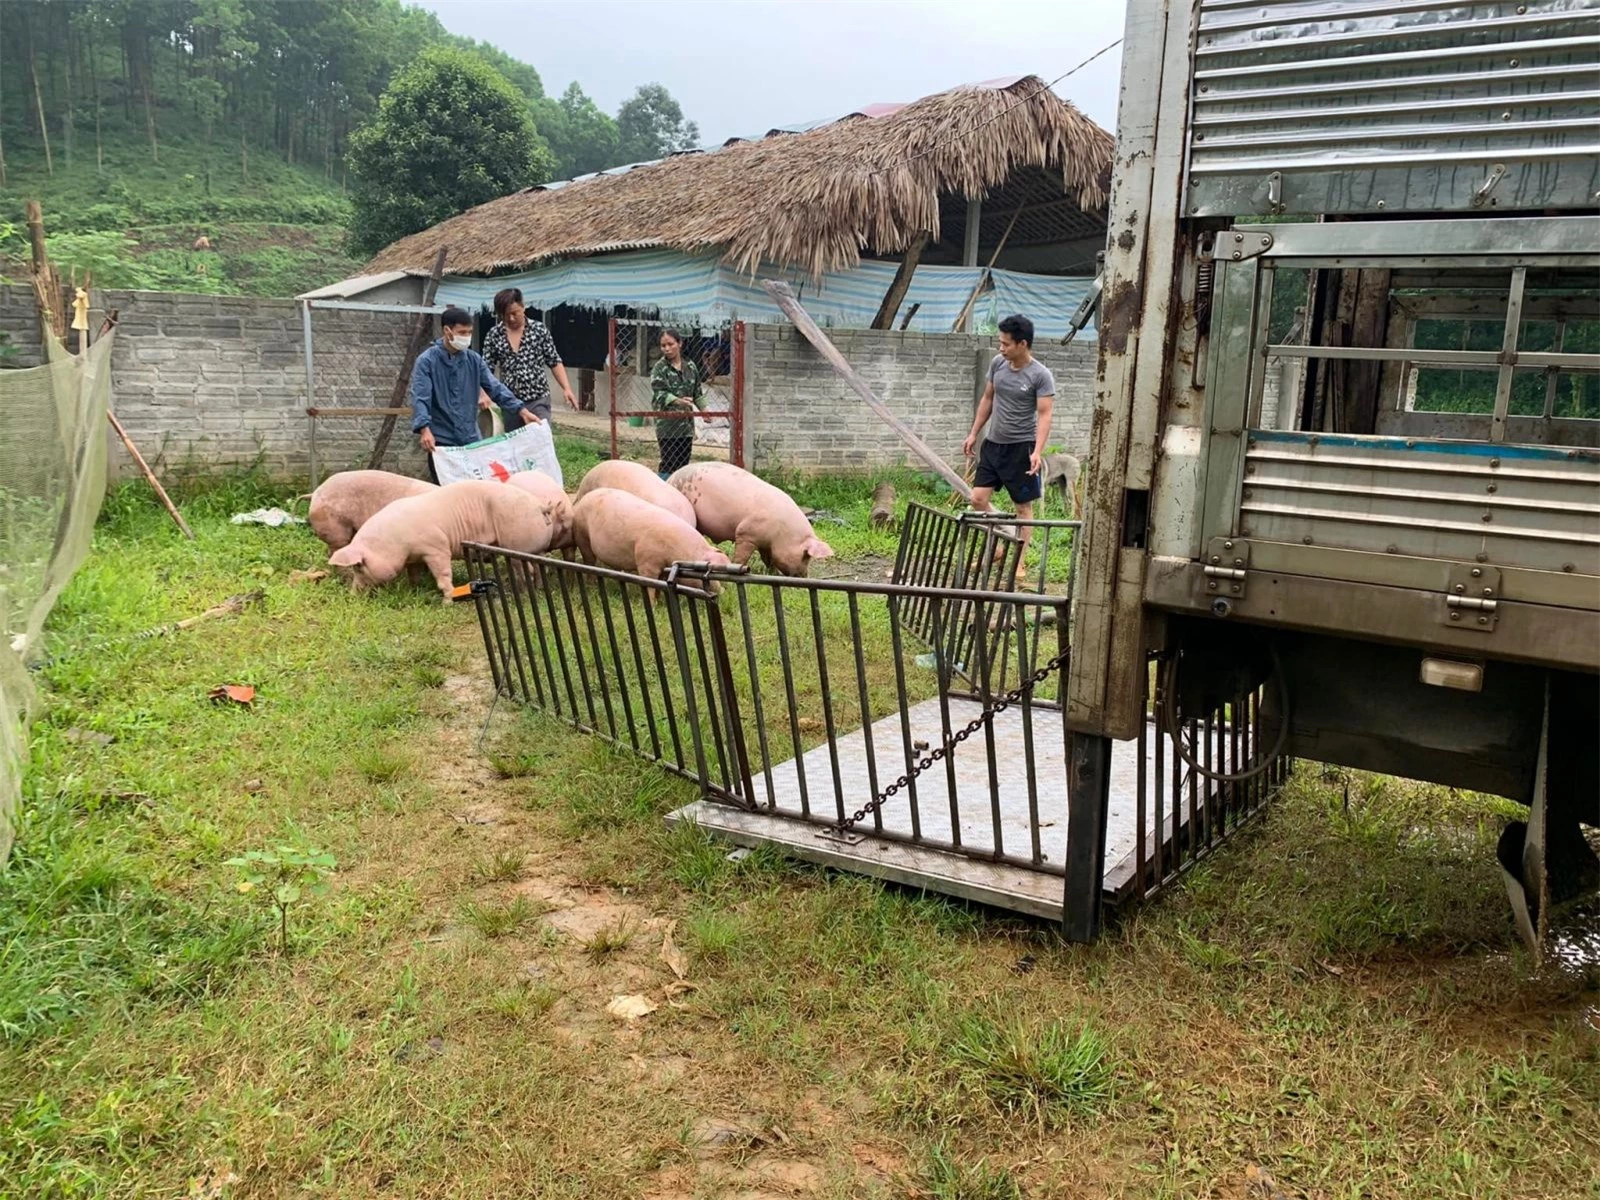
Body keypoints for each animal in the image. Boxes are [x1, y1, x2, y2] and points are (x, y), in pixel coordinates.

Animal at [324, 480, 556, 601]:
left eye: (359, 567)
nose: (352, 594)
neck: (395, 541)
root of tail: (540, 507)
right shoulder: (413, 557)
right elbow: (414, 573)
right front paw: (414, 589)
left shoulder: (436, 547)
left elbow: (442, 573)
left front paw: (447, 601)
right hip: (535, 548)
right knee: (539, 568)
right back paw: (536, 590)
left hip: (517, 544)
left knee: (528, 569)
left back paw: (523, 594)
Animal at [569, 489, 732, 598]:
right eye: (709, 576)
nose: (722, 592)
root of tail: (584, 498)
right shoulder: (647, 560)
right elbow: (650, 585)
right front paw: (653, 606)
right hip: (582, 535)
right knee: (589, 560)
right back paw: (591, 585)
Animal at [668, 460, 838, 579]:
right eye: (806, 556)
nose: (804, 576)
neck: (783, 532)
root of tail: (671, 477)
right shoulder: (745, 533)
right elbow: (741, 557)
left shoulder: (766, 543)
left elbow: (768, 558)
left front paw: (773, 573)